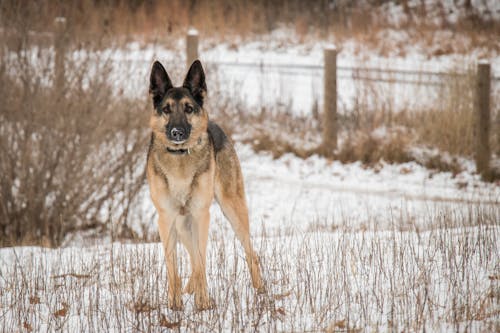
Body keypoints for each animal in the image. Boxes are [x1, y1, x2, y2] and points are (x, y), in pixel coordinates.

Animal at [146, 59, 266, 308]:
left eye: (188, 109)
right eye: (166, 109)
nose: (177, 132)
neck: (180, 157)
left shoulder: (201, 215)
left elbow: (201, 261)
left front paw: (203, 304)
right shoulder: (166, 219)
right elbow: (173, 266)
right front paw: (175, 305)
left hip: (232, 210)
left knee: (251, 252)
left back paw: (260, 290)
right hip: (182, 224)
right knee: (192, 258)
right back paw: (188, 290)